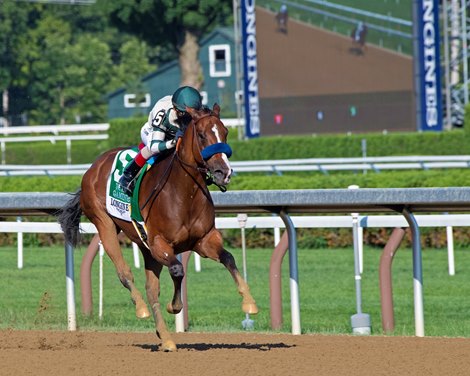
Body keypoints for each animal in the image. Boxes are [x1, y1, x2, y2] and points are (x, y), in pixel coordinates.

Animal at [58, 103, 258, 352]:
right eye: (202, 135)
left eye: (225, 132)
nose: (224, 172)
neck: (184, 193)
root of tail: (94, 166)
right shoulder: (159, 244)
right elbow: (178, 270)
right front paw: (175, 306)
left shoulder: (203, 240)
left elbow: (228, 258)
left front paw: (249, 303)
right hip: (104, 223)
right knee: (125, 274)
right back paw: (141, 309)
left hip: (144, 246)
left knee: (151, 289)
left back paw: (166, 338)